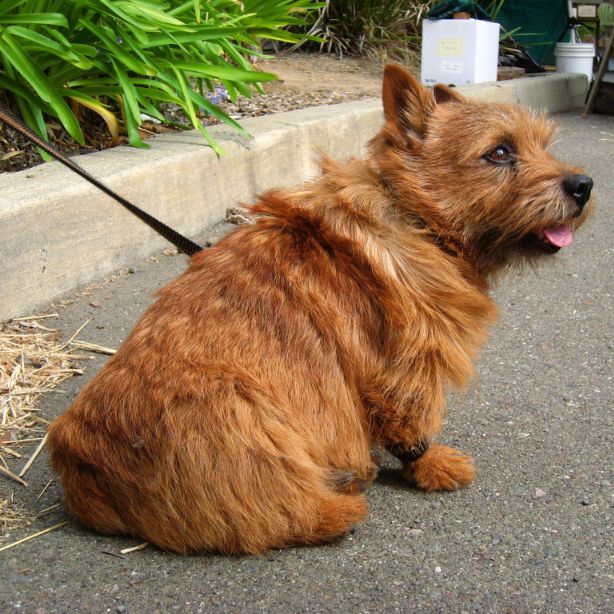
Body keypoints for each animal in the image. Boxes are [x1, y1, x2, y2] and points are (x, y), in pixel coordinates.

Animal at [48, 65, 596, 556]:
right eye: (499, 152)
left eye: (543, 144)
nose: (584, 185)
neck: (415, 218)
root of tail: (79, 462)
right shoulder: (405, 363)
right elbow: (413, 422)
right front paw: (432, 466)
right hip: (241, 411)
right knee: (276, 516)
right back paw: (343, 500)